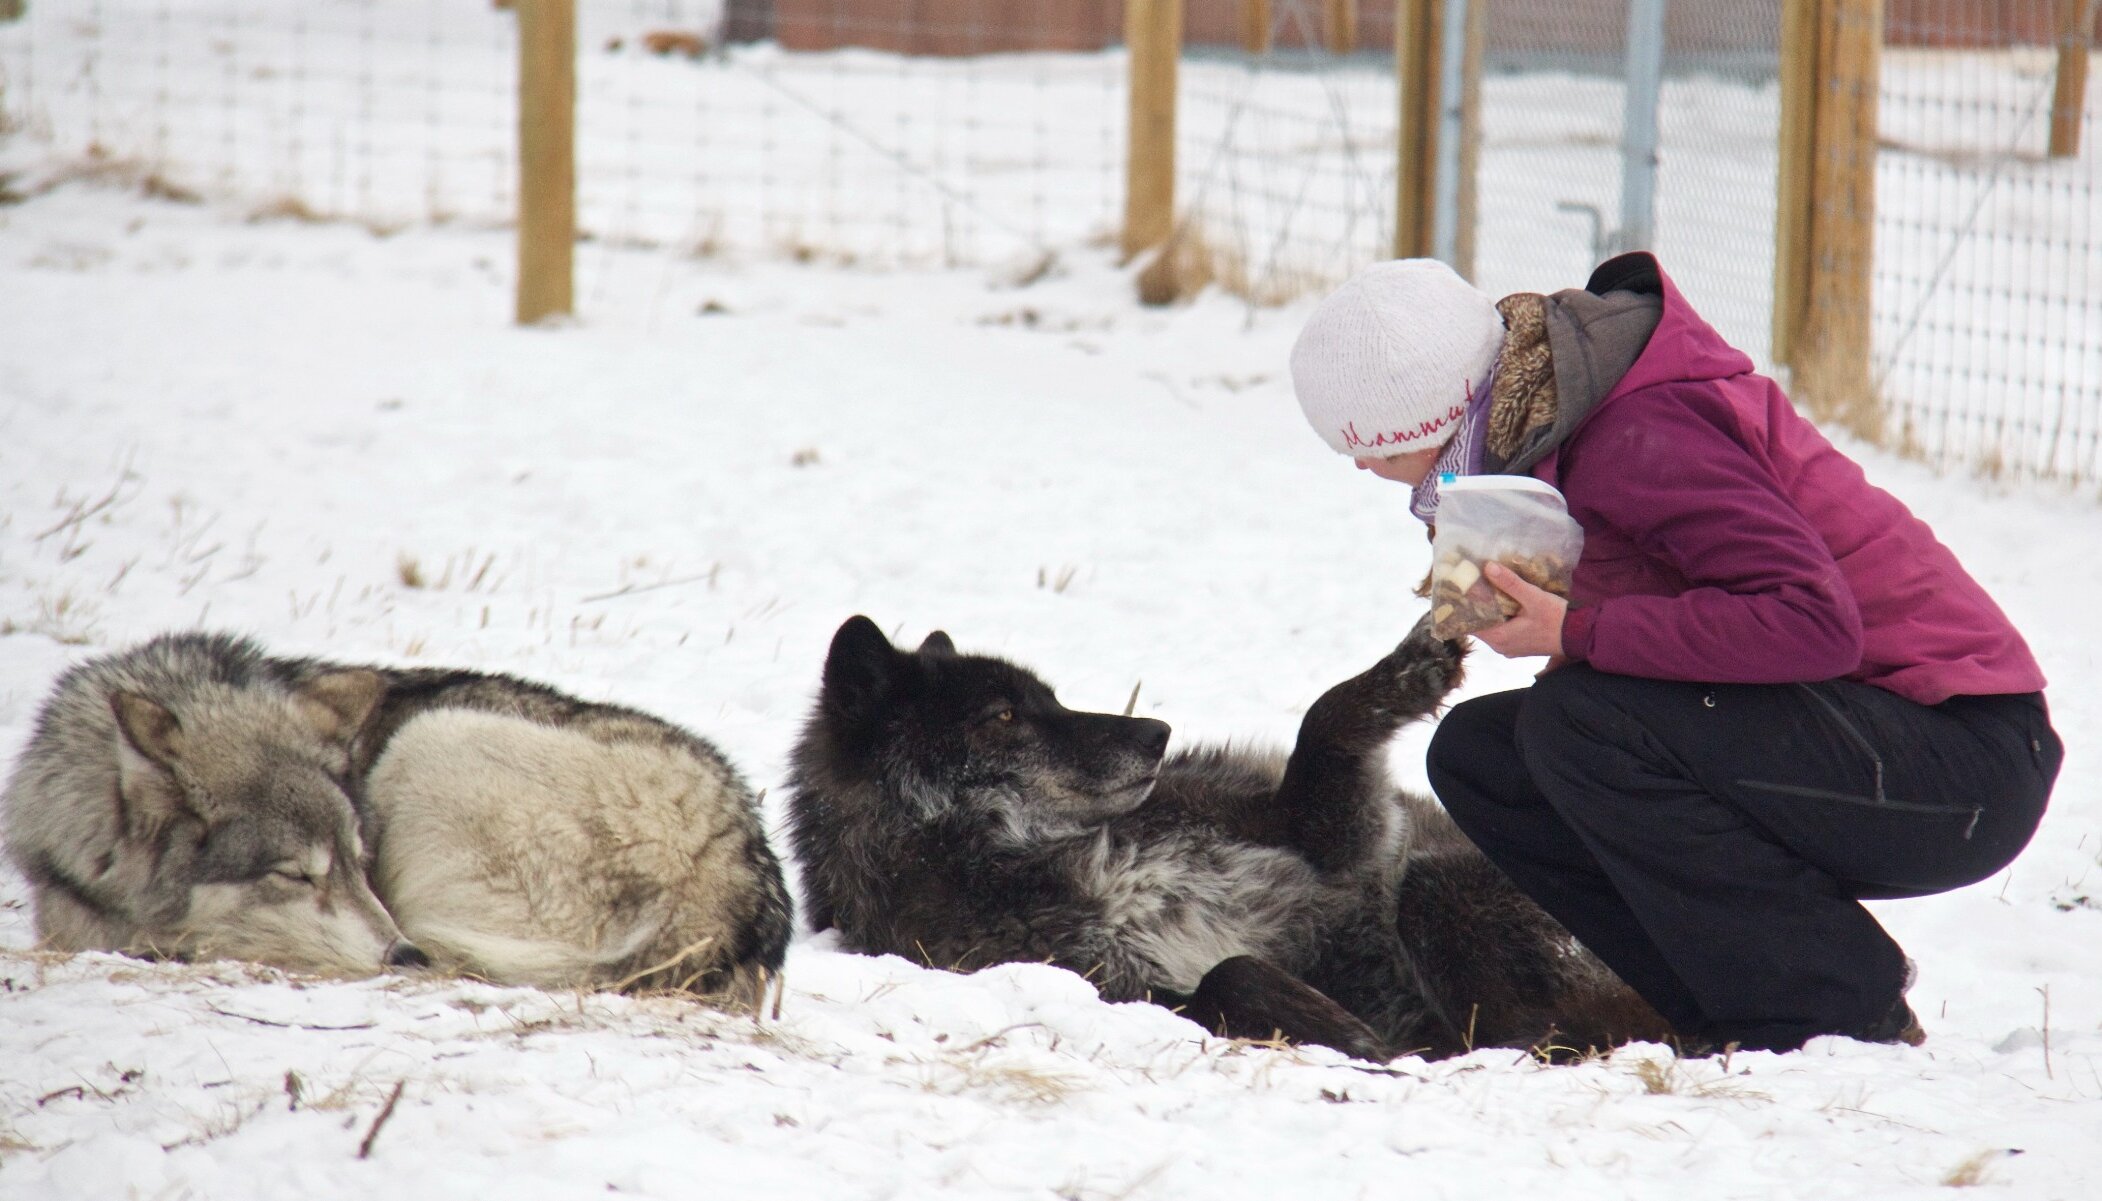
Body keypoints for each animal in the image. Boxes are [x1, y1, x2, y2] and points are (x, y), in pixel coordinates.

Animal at [781, 614, 1664, 1055]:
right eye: (1001, 716)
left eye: (1051, 698)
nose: (1157, 734)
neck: (1059, 855)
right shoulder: (1118, 986)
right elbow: (1227, 974)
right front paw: (1350, 1032)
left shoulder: (1328, 839)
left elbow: (1323, 722)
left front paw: (1406, 671)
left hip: (1434, 886)